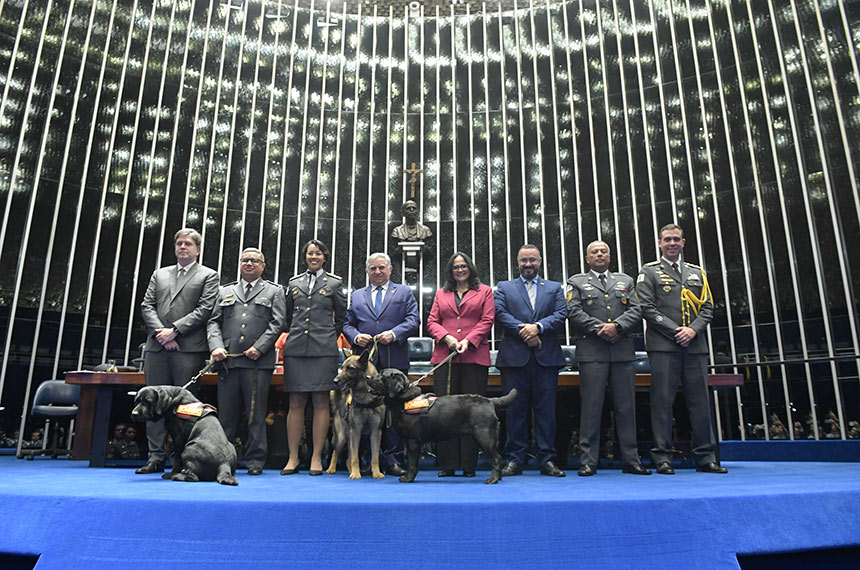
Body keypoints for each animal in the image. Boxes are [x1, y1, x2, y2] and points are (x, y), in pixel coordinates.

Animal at [326, 348, 386, 478]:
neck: (367, 398)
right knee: (335, 453)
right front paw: (355, 474)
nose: (335, 381)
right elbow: (355, 458)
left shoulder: (375, 433)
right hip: (342, 438)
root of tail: (339, 403)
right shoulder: (356, 431)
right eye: (342, 367)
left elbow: (375, 457)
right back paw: (332, 469)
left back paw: (350, 471)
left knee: (348, 459)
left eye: (350, 368)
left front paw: (376, 473)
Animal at [372, 366, 516, 482]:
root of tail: (489, 401)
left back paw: (493, 479)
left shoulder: (413, 440)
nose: (368, 377)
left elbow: (412, 463)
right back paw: (498, 478)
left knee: (496, 458)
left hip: (484, 436)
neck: (404, 400)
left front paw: (408, 478)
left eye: (381, 375)